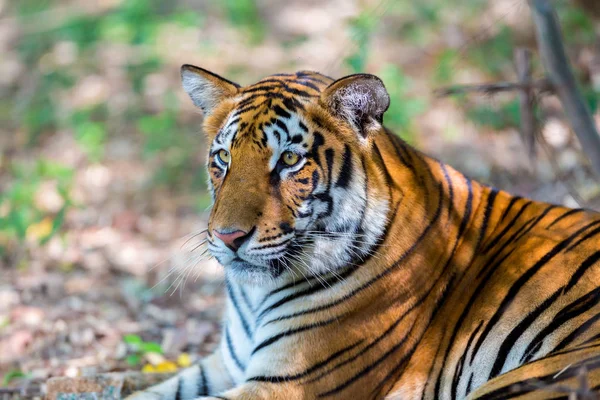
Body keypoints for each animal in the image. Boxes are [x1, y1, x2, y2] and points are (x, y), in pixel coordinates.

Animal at [125, 64, 600, 398]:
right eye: (223, 157)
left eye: (289, 160)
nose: (227, 238)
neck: (255, 296)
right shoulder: (225, 364)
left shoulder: (287, 384)